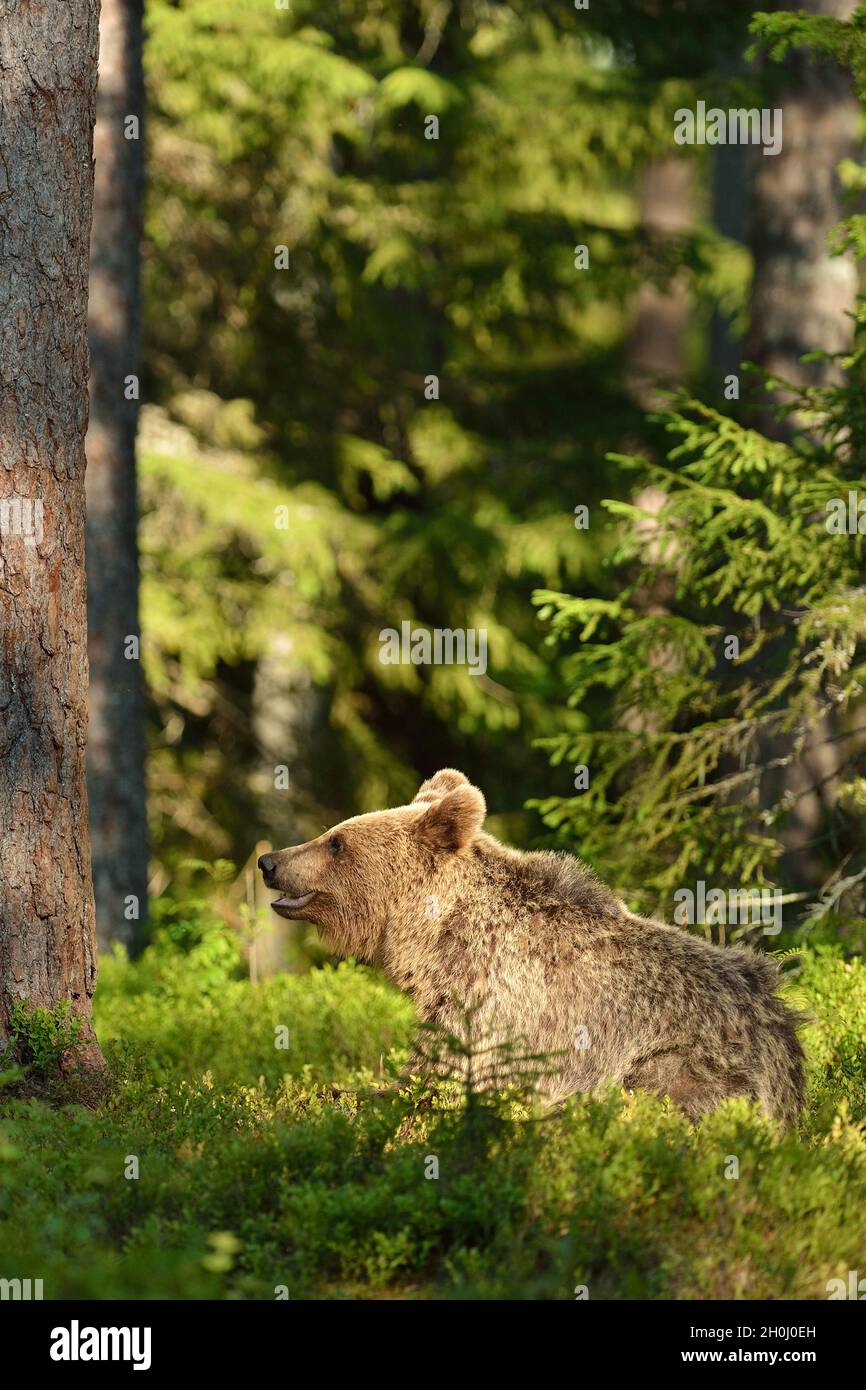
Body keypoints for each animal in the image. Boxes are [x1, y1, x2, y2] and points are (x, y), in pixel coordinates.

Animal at [258, 769, 806, 1123]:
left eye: (336, 841)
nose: (269, 860)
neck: (435, 940)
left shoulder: (494, 1002)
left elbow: (435, 1079)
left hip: (688, 1059)